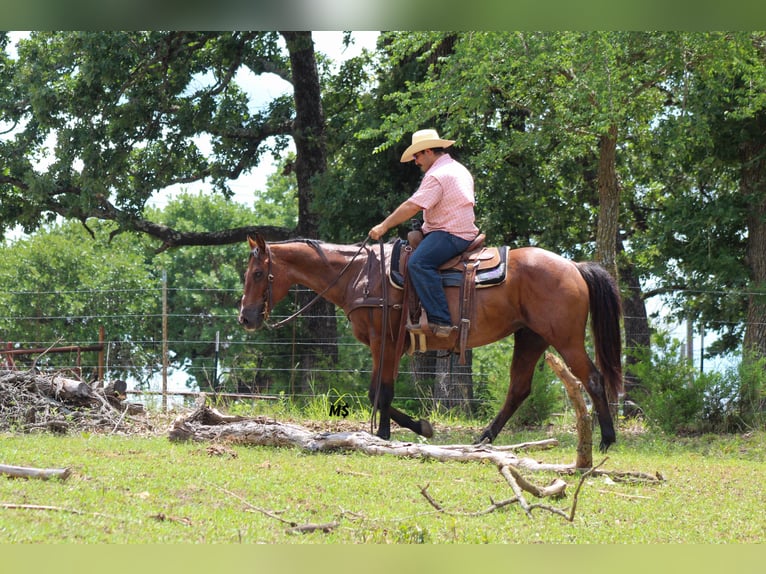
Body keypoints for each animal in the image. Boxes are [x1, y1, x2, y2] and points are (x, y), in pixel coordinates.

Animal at [238, 233, 623, 452]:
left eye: (257, 274)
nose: (246, 318)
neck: (361, 275)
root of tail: (573, 266)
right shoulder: (390, 345)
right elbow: (379, 392)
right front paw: (411, 428)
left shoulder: (384, 341)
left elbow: (381, 392)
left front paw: (386, 434)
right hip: (531, 338)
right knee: (519, 389)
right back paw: (484, 438)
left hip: (565, 339)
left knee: (593, 379)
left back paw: (606, 439)